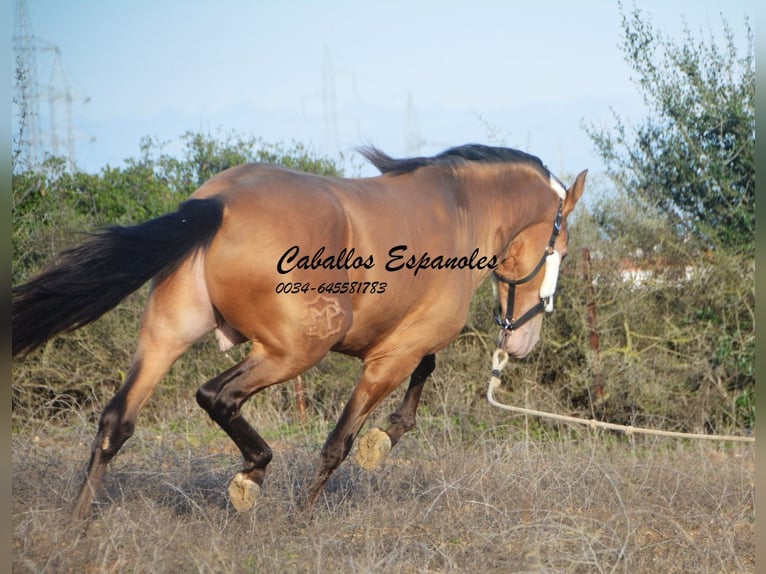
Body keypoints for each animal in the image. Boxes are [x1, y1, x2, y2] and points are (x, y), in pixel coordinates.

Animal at [12, 145, 588, 520]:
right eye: (558, 251)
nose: (522, 342)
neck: (458, 210)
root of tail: (219, 203)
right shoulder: (389, 356)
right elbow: (341, 442)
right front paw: (305, 516)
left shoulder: (401, 341)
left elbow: (425, 371)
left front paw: (387, 435)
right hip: (295, 351)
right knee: (216, 397)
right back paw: (251, 476)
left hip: (167, 335)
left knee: (117, 421)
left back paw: (76, 525)